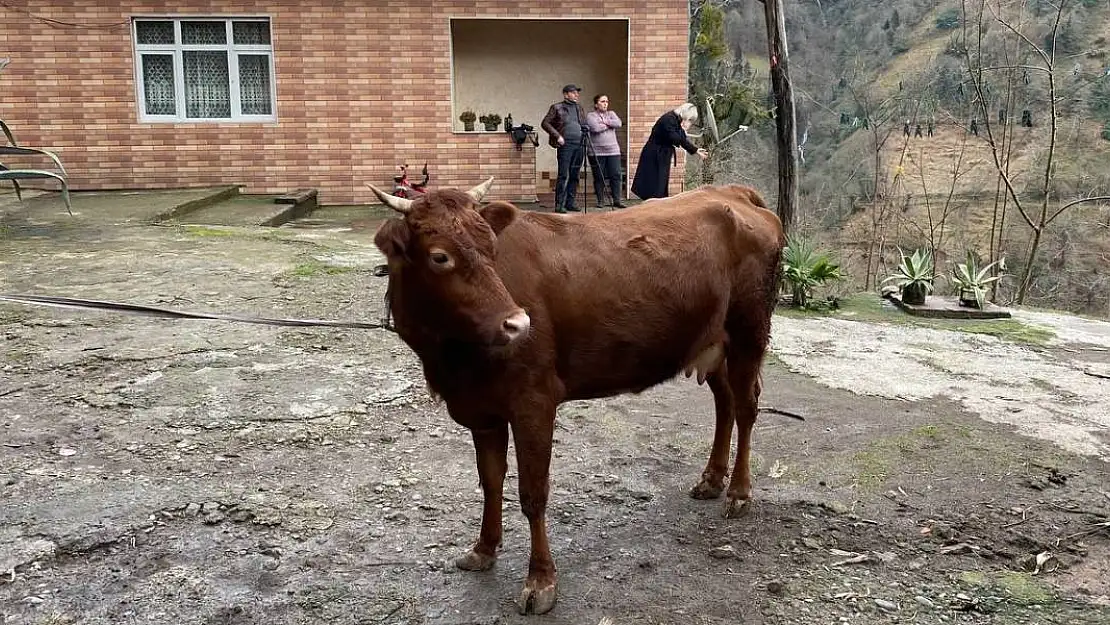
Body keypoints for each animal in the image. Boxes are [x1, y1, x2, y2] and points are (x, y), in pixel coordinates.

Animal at [364, 178, 781, 612]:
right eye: (440, 257)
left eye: (492, 249)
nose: (518, 323)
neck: (452, 361)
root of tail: (730, 192)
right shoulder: (482, 408)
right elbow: (491, 481)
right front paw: (484, 548)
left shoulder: (533, 401)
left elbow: (533, 493)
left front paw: (540, 581)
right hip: (712, 341)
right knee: (725, 403)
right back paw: (712, 479)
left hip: (749, 331)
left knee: (747, 406)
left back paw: (739, 492)